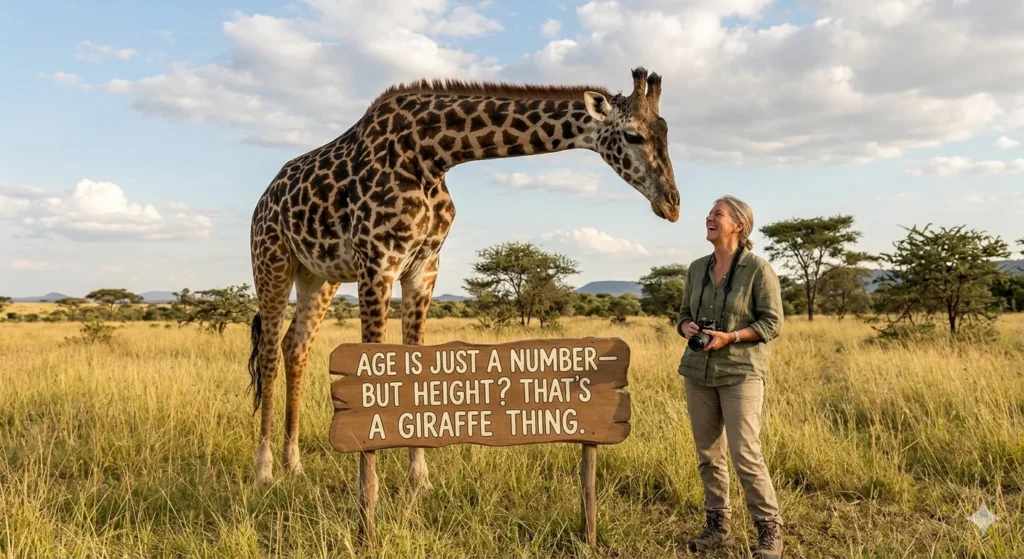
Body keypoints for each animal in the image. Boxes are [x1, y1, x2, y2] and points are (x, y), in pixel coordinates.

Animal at [246, 67, 680, 489]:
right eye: (633, 135)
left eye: (666, 132)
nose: (672, 204)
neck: (430, 155)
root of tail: (263, 198)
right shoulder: (378, 262)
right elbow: (373, 366)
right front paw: (368, 479)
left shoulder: (424, 268)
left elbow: (413, 366)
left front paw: (419, 478)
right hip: (271, 261)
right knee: (268, 351)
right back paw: (264, 471)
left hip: (319, 276)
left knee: (295, 346)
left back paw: (293, 465)